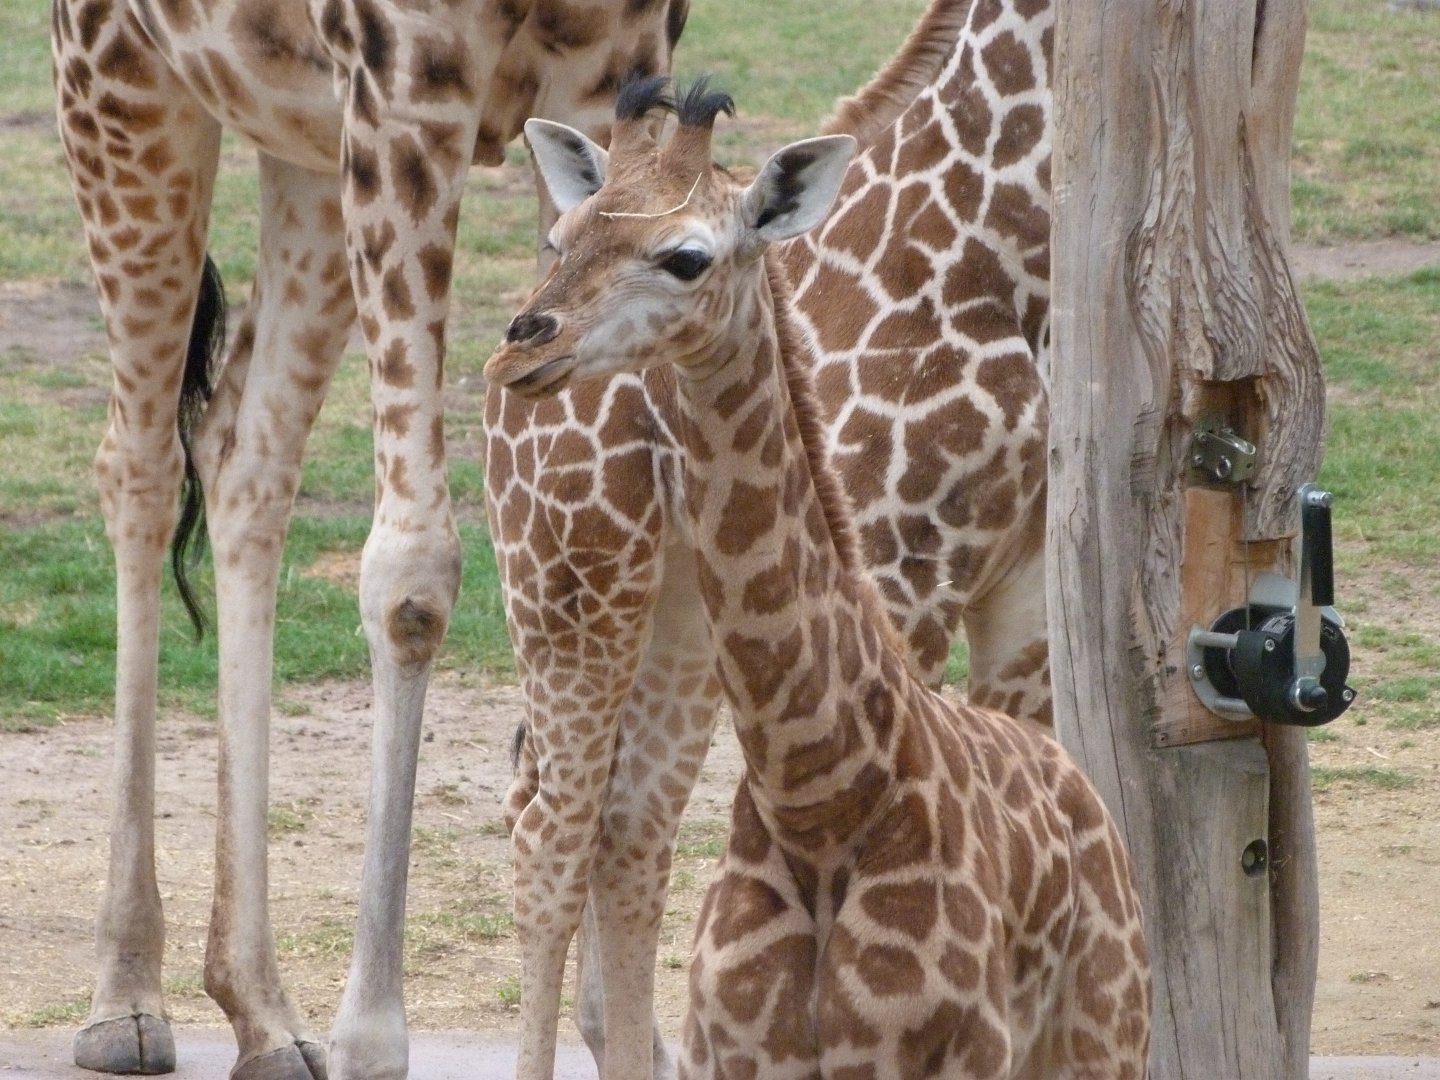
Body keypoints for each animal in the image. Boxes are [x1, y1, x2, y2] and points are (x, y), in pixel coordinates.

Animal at [50, 0, 686, 1077]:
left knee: (242, 457)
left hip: (305, 147)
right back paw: (127, 997)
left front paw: (622, 1029)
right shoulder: (405, 96)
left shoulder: (617, 75)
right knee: (137, 468)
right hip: (125, 91)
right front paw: (372, 1032)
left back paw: (263, 1013)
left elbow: (600, 529)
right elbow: (411, 575)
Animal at [486, 77, 1150, 1077]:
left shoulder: (955, 1054)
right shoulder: (738, 1052)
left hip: (1102, 1034)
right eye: (562, 238)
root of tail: (1078, 785)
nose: (521, 349)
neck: (824, 802)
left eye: (686, 258)